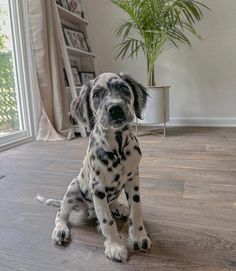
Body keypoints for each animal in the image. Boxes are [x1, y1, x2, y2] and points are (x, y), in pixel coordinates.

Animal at [37, 73, 151, 264]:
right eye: (96, 94)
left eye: (123, 88)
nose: (115, 108)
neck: (118, 147)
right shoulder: (97, 188)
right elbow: (106, 220)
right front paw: (115, 246)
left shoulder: (133, 179)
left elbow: (136, 210)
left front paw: (138, 236)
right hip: (72, 188)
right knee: (61, 215)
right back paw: (61, 230)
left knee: (112, 205)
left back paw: (119, 207)